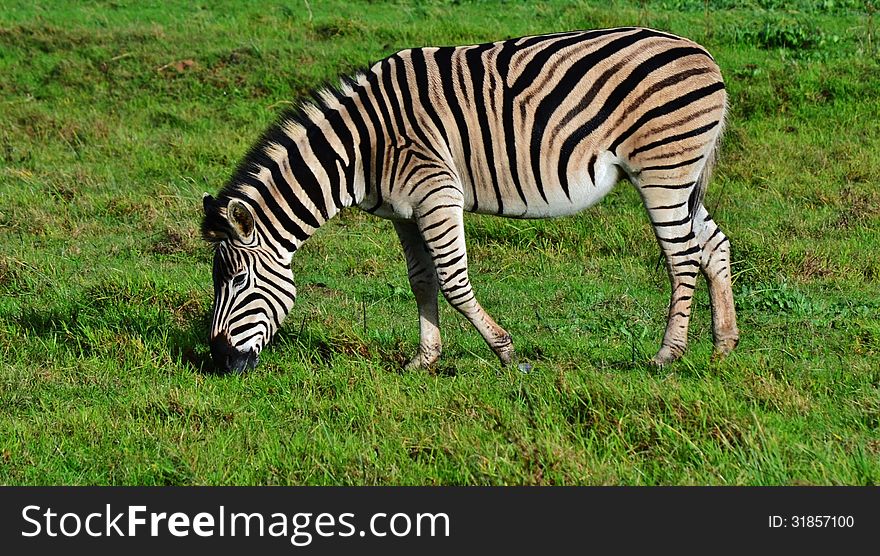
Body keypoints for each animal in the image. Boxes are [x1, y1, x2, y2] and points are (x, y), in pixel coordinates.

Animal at [199, 27, 736, 374]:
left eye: (240, 280)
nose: (219, 362)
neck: (361, 148)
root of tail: (703, 52)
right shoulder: (404, 212)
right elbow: (421, 281)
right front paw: (424, 359)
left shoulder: (437, 192)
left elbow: (455, 284)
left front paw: (507, 354)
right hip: (679, 177)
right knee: (714, 245)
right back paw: (723, 346)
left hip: (662, 171)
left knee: (683, 257)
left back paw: (668, 355)